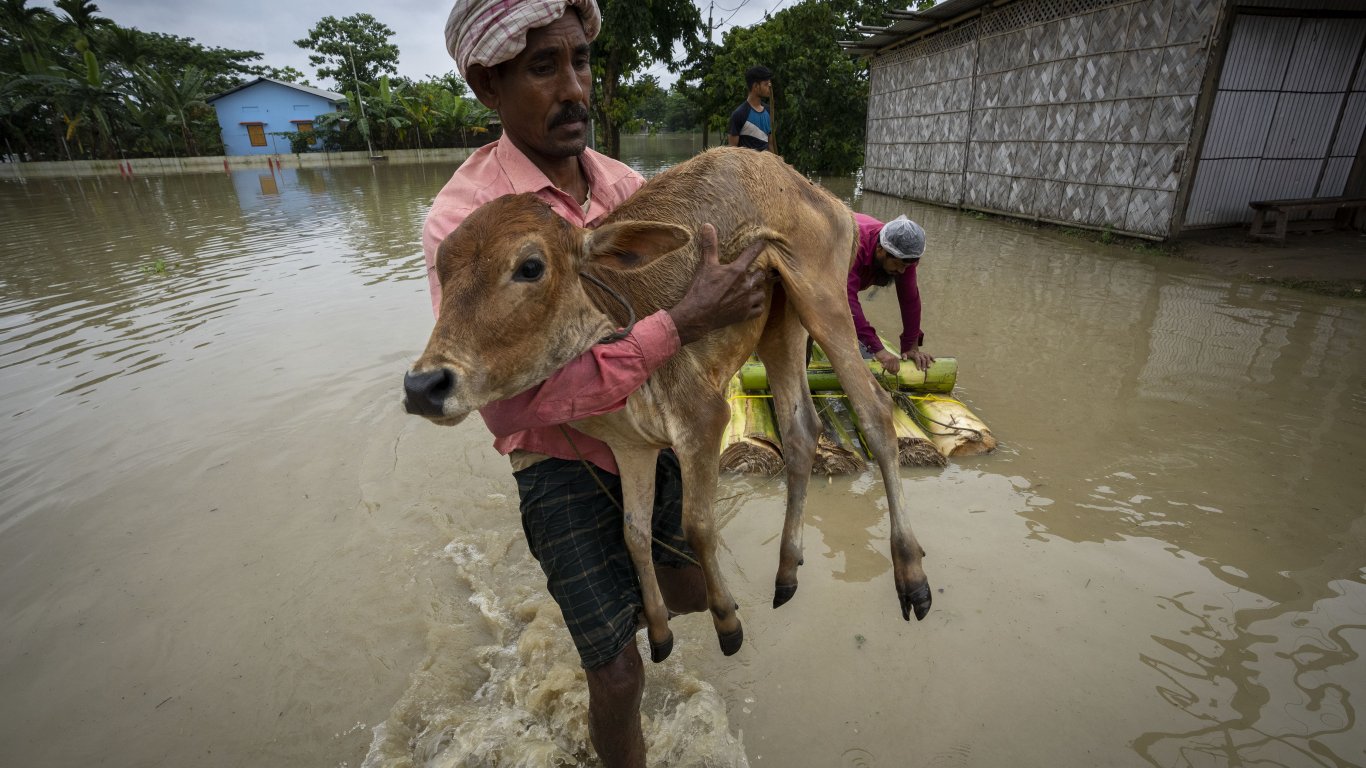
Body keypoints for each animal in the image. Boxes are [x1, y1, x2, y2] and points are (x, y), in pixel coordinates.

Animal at [401, 148, 928, 658]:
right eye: (441, 269)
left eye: (530, 267)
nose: (424, 385)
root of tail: (814, 190)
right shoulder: (631, 449)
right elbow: (634, 535)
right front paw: (657, 629)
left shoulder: (703, 418)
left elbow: (697, 525)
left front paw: (727, 619)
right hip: (780, 322)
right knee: (801, 431)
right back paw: (786, 572)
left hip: (821, 297)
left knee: (876, 414)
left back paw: (911, 574)